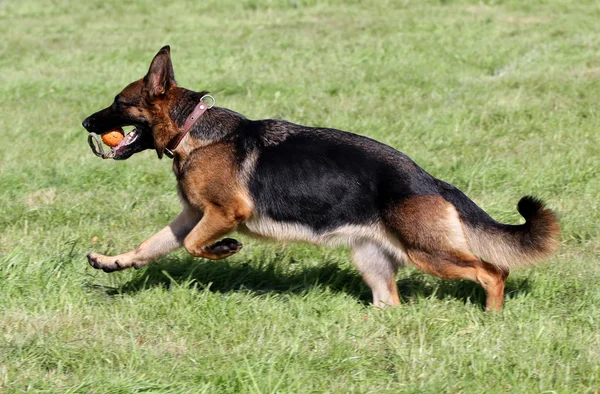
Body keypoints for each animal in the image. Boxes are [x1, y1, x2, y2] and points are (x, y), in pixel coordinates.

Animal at [82, 46, 560, 310]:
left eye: (118, 103)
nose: (85, 122)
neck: (193, 130)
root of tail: (430, 180)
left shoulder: (223, 214)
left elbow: (194, 246)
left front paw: (226, 249)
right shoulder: (191, 216)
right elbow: (152, 245)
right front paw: (112, 262)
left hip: (430, 253)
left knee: (493, 271)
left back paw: (492, 318)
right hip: (373, 260)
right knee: (391, 302)